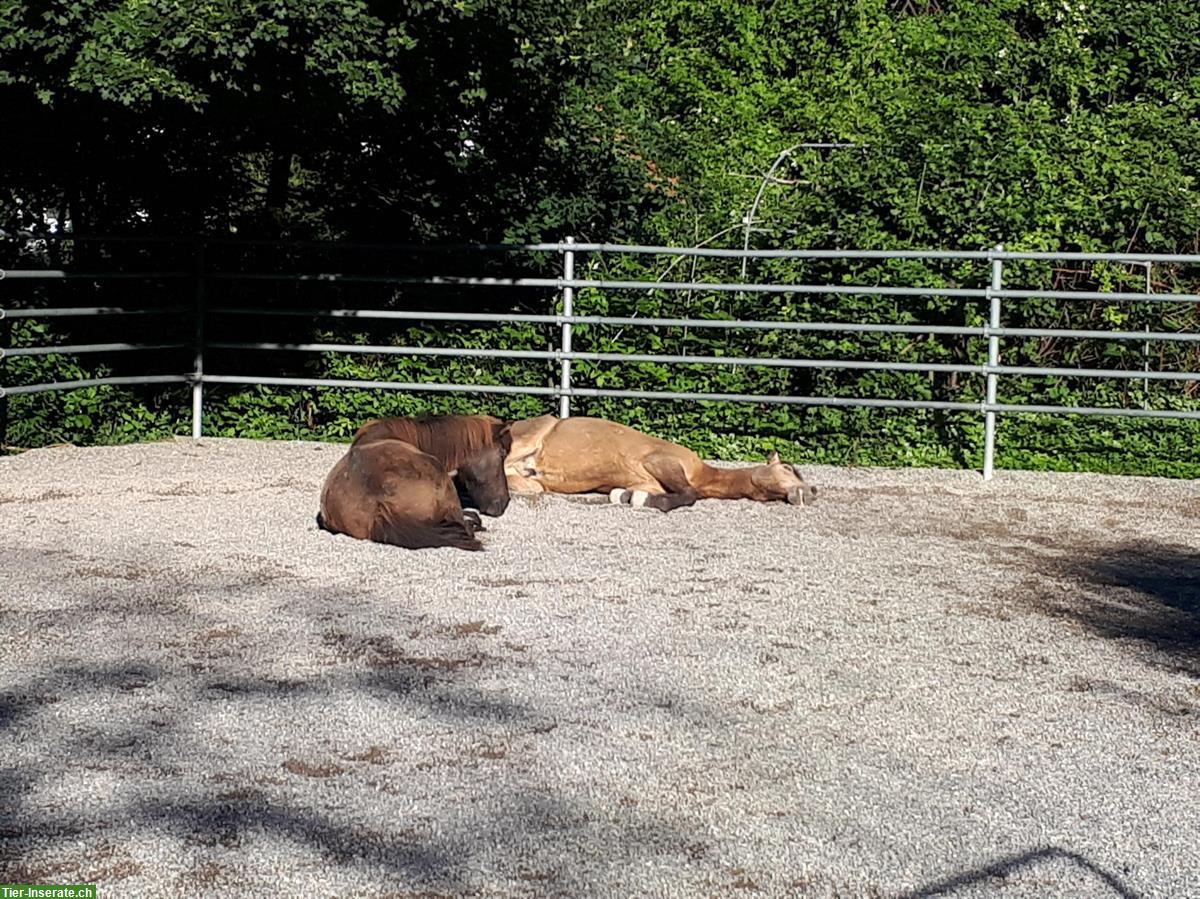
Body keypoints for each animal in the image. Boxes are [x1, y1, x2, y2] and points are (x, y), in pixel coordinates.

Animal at [506, 415, 816, 511]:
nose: (811, 491)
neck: (702, 473)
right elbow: (689, 494)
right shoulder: (662, 461)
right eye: (788, 468)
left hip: (533, 480)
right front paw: (646, 502)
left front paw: (628, 496)